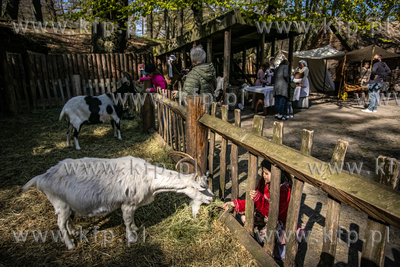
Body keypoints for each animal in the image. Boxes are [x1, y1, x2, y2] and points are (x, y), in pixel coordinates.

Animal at [22, 154, 214, 250]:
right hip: (60, 204)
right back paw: (70, 244)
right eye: (202, 187)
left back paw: (75, 232)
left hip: (68, 205)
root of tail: (43, 178)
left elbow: (133, 218)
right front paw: (132, 237)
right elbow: (127, 220)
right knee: (60, 224)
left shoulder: (133, 204)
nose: (212, 198)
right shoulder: (127, 203)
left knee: (68, 220)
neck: (149, 179)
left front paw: (136, 228)